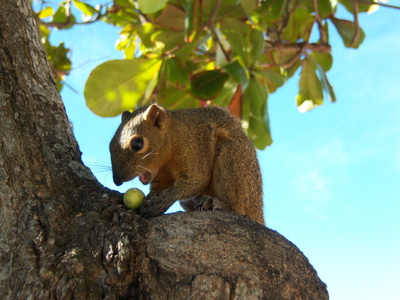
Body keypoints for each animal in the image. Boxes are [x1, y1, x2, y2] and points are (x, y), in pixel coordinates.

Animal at [109, 104, 266, 224]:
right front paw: (150, 200)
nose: (117, 180)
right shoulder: (161, 179)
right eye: (110, 144)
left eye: (137, 143)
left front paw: (165, 199)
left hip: (232, 162)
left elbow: (195, 181)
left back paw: (214, 203)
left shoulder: (193, 149)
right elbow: (159, 189)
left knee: (236, 207)